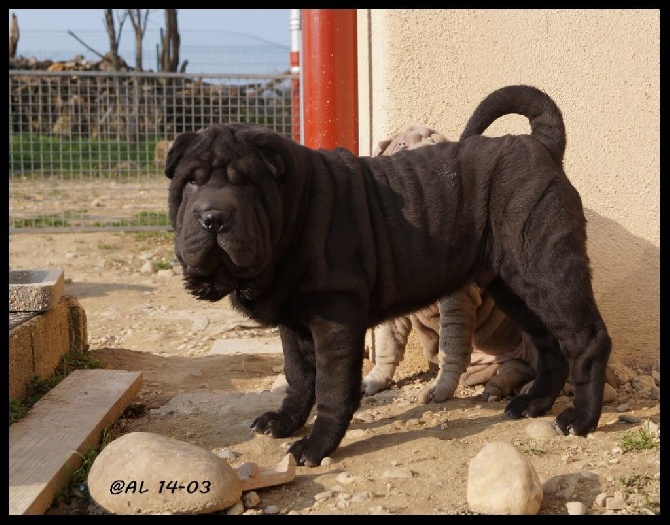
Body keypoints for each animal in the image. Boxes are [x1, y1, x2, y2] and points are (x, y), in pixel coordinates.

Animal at [165, 84, 612, 464]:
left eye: (246, 185)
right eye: (189, 184)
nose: (212, 218)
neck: (295, 209)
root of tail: (541, 146)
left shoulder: (335, 314)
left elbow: (332, 385)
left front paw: (316, 446)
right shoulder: (294, 321)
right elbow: (299, 376)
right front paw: (285, 421)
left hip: (545, 270)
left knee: (586, 340)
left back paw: (580, 419)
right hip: (513, 287)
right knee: (549, 344)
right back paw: (533, 403)